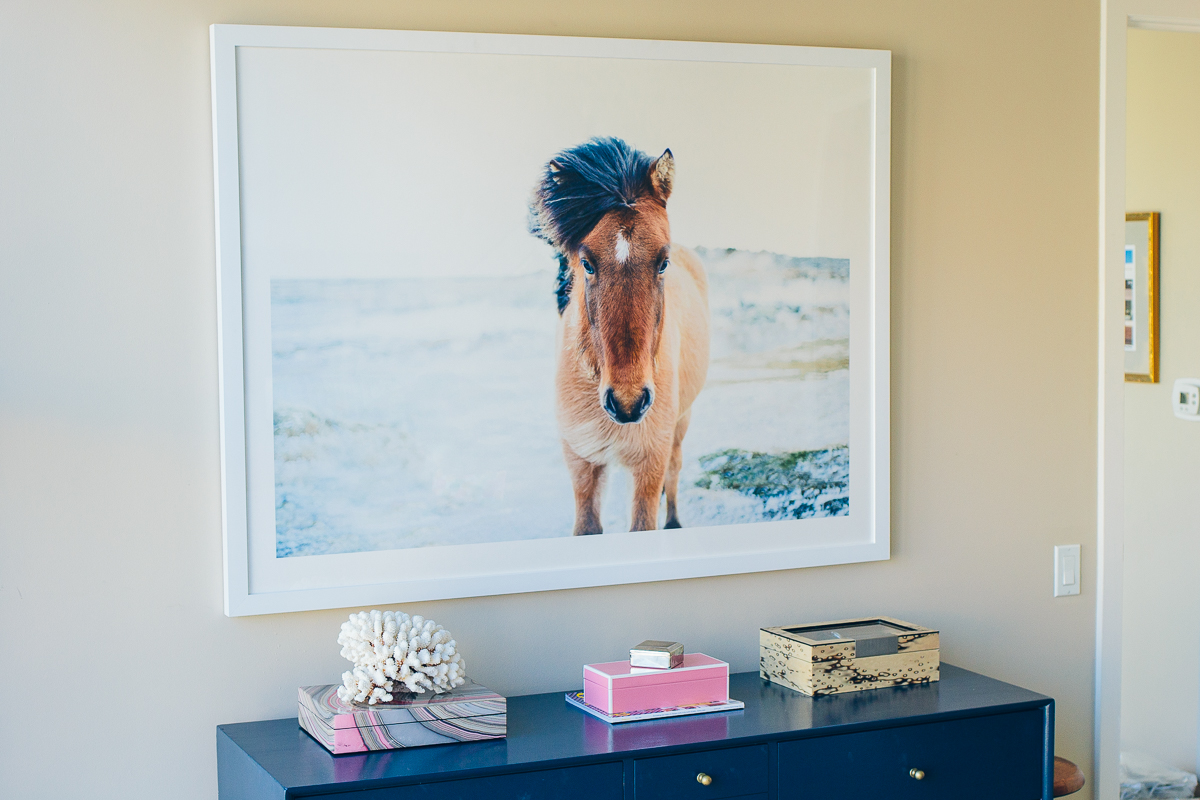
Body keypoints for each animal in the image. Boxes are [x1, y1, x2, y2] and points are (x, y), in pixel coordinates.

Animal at [529, 137, 710, 535]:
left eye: (663, 262)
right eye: (586, 263)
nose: (628, 403)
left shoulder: (650, 463)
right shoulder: (583, 465)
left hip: (680, 424)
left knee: (674, 472)